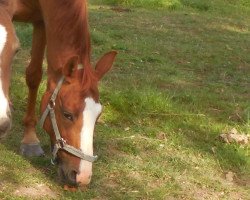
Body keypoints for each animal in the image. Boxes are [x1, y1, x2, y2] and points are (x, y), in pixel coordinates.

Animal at [0, 0, 116, 188]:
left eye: (98, 116)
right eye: (67, 114)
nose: (82, 177)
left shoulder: (41, 21)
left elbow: (34, 75)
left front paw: (30, 138)